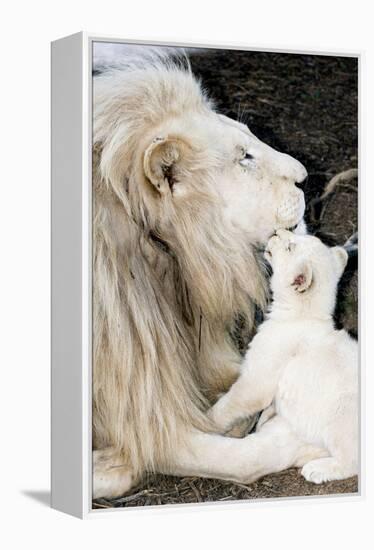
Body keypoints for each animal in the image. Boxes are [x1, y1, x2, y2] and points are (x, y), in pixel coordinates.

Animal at [210, 231, 360, 486]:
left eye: (290, 247)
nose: (276, 232)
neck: (302, 314)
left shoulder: (258, 377)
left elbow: (233, 403)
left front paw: (206, 420)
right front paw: (265, 419)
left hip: (342, 414)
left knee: (352, 459)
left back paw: (317, 470)